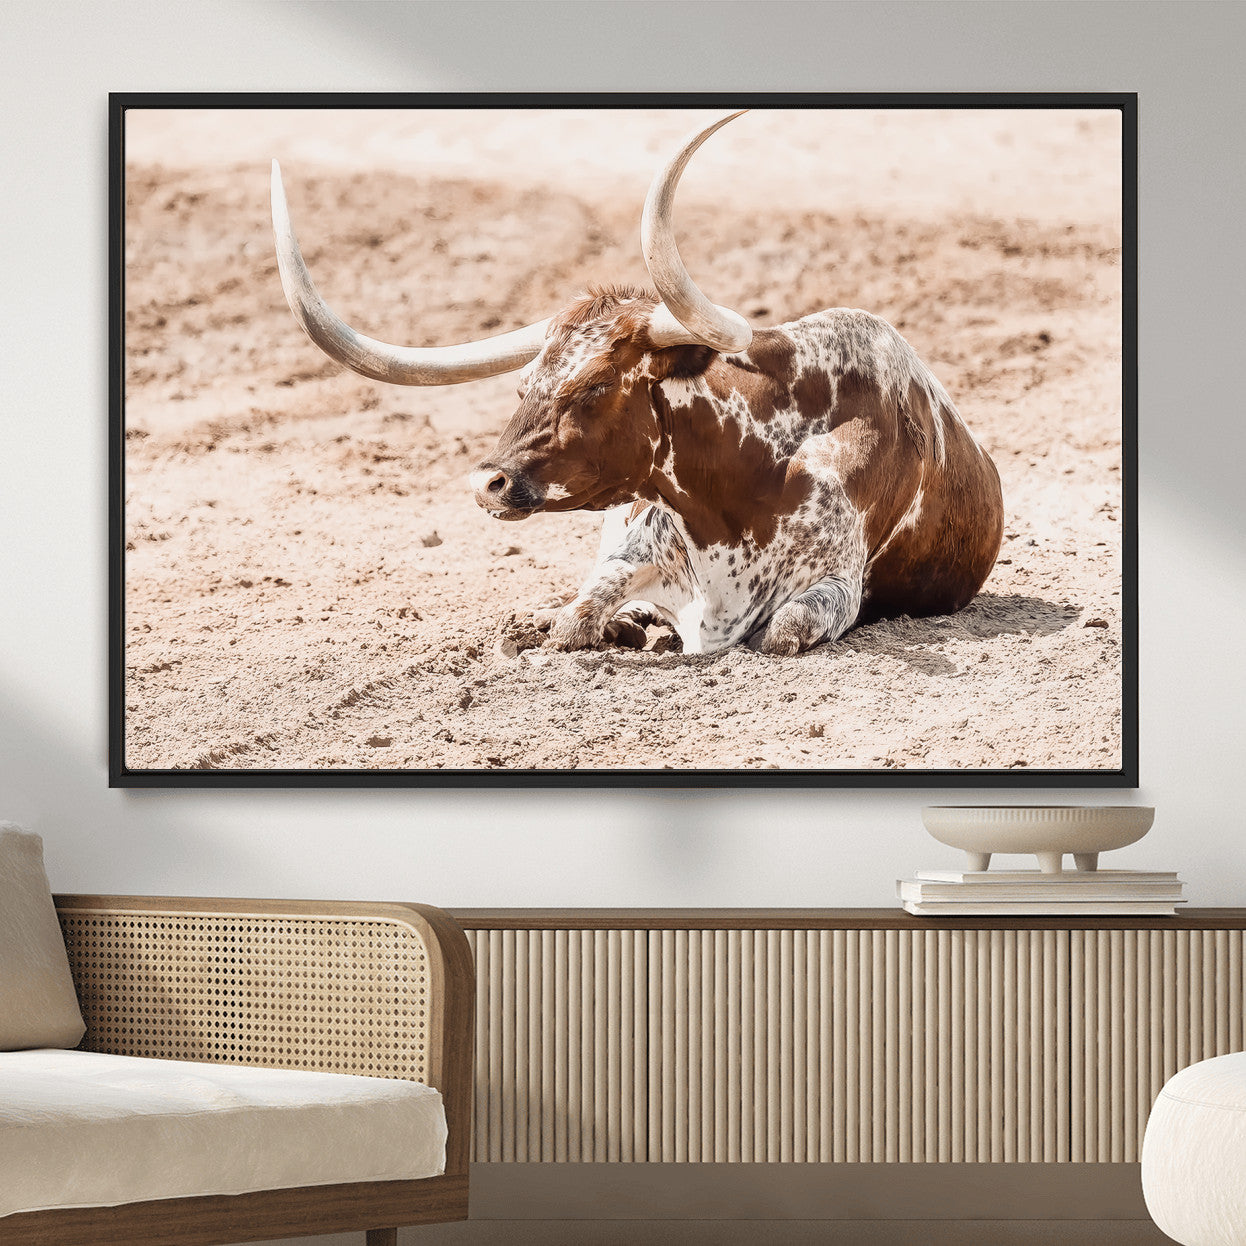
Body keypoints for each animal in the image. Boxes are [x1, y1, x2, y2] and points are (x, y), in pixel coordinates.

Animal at [271, 111, 1003, 656]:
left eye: (596, 386)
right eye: (524, 385)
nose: (489, 483)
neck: (742, 485)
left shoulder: (835, 586)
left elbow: (780, 631)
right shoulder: (629, 550)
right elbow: (574, 617)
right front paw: (592, 624)